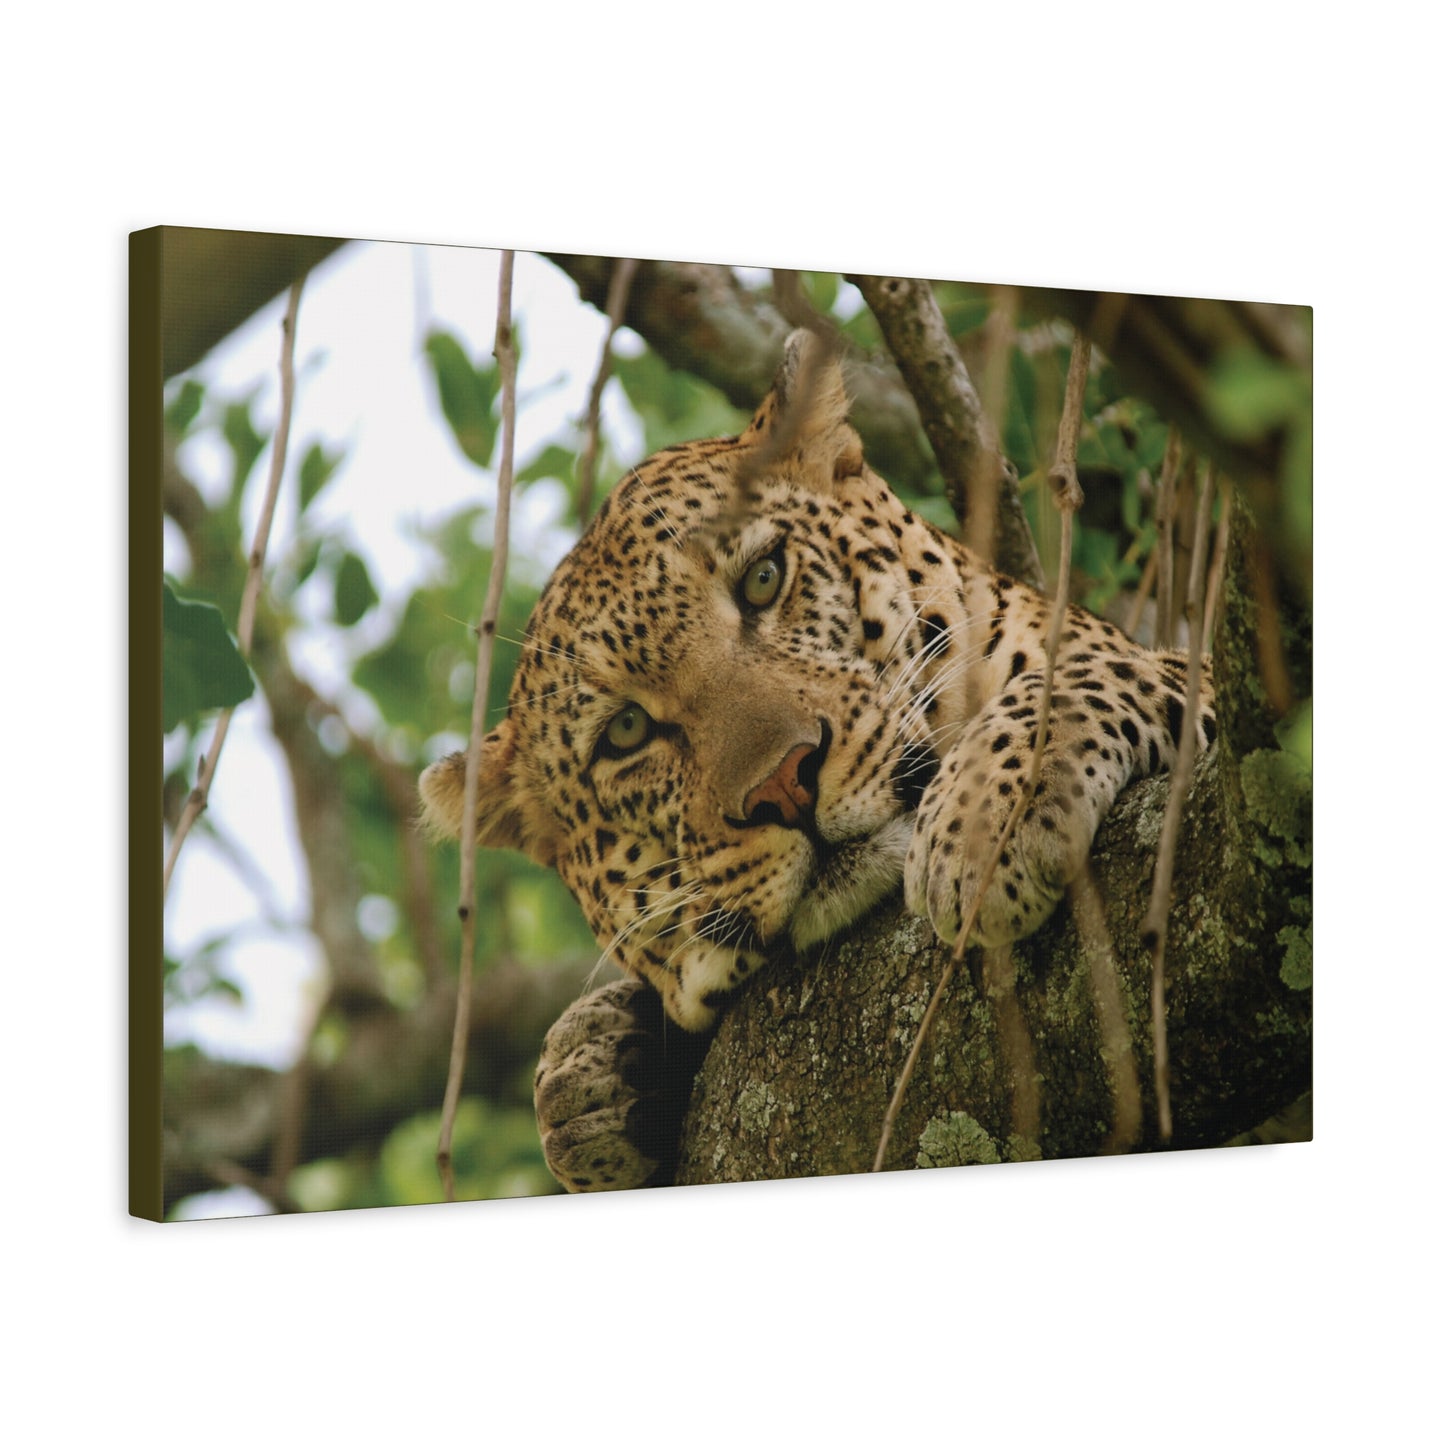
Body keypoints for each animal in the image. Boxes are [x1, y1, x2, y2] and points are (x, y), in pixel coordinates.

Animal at [420, 330, 1216, 1192]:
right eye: (626, 731)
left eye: (764, 579)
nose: (784, 783)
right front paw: (595, 1076)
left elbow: (1084, 672)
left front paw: (982, 822)